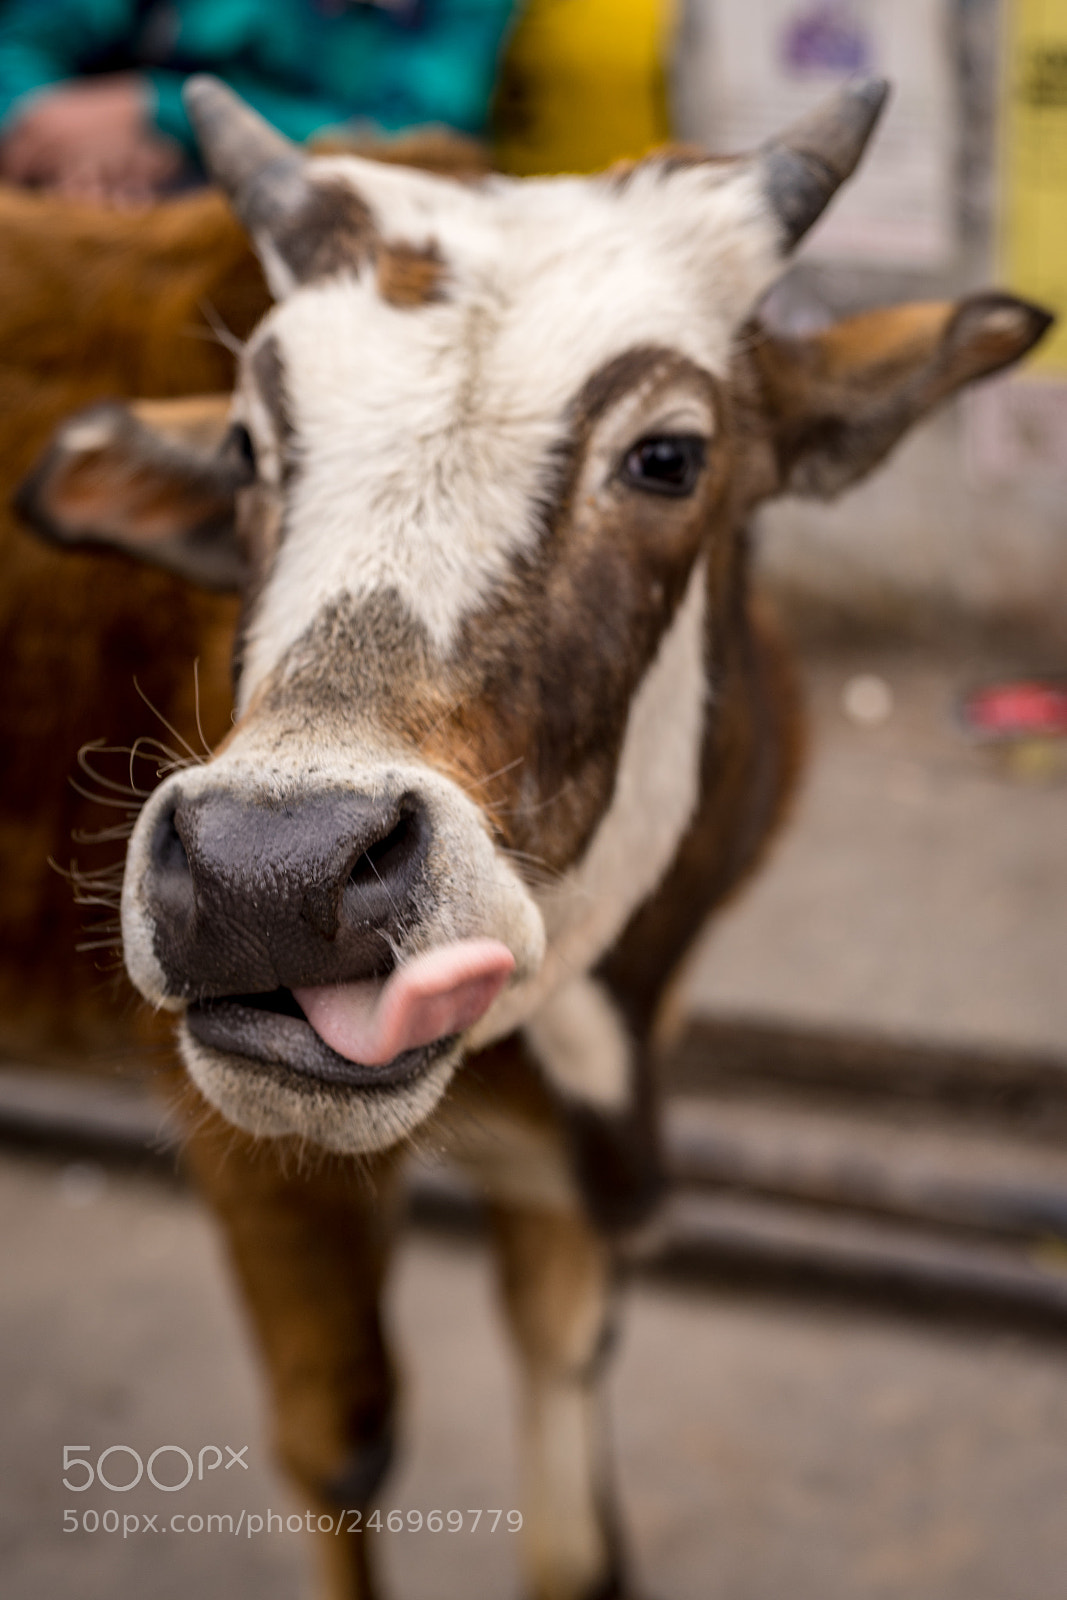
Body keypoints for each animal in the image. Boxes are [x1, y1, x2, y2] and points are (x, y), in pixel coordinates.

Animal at [12, 74, 1050, 1600]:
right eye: (250, 448)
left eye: (669, 455)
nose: (270, 871)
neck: (583, 1010)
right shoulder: (240, 1130)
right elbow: (343, 1446)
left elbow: (576, 1500)